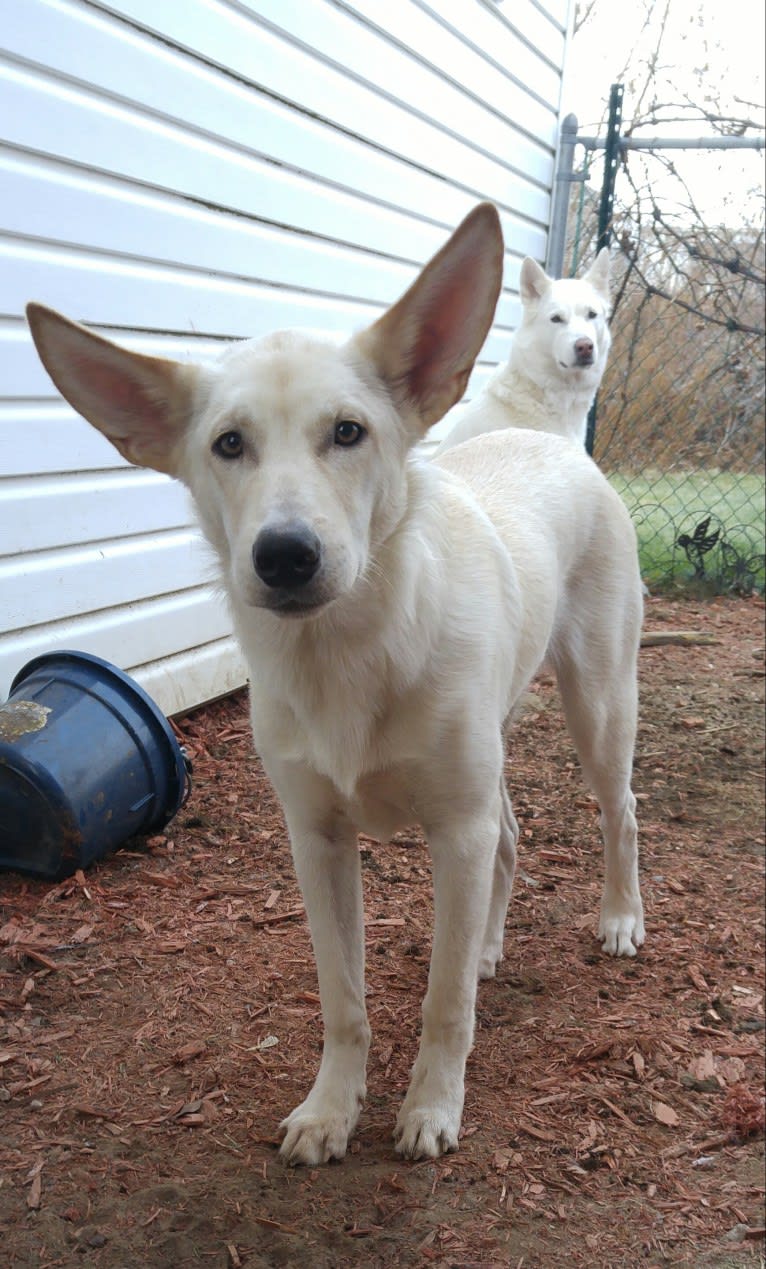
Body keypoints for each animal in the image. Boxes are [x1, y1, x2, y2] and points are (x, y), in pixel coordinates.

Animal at [26, 203, 644, 1162]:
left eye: (348, 432)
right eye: (228, 444)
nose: (284, 555)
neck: (348, 652)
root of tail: (549, 446)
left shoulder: (452, 828)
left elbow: (442, 1000)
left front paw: (432, 1106)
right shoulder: (316, 840)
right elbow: (342, 1000)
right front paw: (329, 1108)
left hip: (600, 704)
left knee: (620, 811)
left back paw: (618, 919)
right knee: (508, 837)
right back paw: (489, 944)